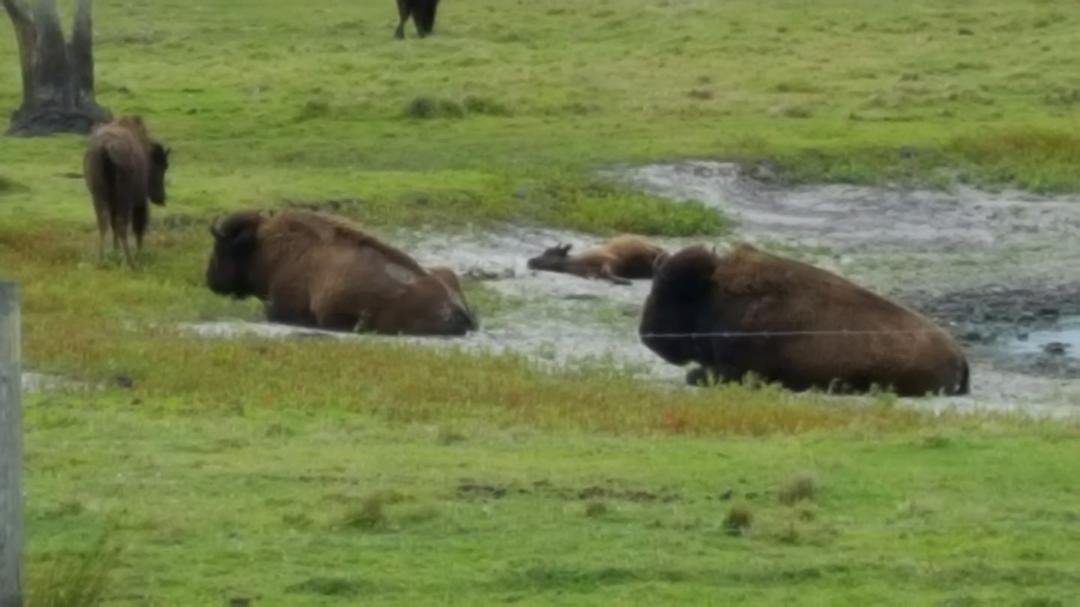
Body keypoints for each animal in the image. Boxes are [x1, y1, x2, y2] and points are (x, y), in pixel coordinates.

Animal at [527, 236, 669, 286]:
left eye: (550, 252)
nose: (530, 261)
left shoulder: (609, 262)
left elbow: (608, 273)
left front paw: (623, 280)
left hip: (653, 250)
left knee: (663, 254)